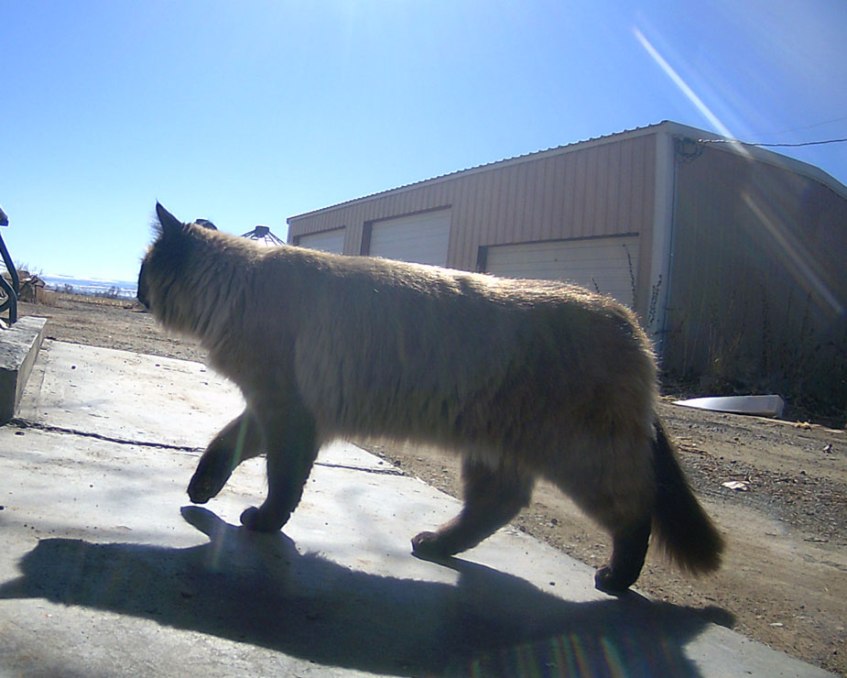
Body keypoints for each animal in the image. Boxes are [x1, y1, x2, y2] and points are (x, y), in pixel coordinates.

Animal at [139, 203, 723, 594]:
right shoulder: (268, 410)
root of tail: (629, 320)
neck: (240, 288)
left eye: (144, 271)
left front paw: (259, 522)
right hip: (492, 449)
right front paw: (200, 491)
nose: (137, 292)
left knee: (634, 510)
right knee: (499, 504)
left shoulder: (289, 417)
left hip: (580, 457)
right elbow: (223, 446)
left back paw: (615, 579)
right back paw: (434, 546)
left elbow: (281, 487)